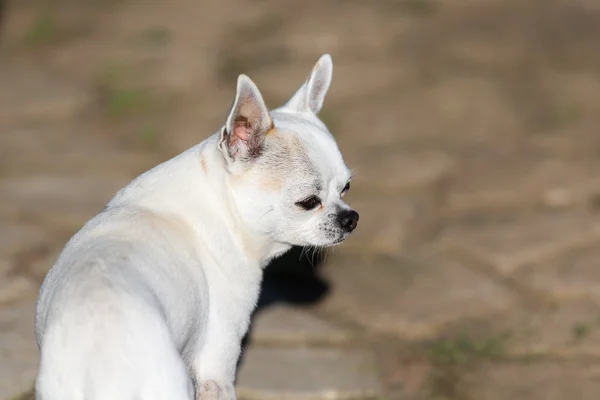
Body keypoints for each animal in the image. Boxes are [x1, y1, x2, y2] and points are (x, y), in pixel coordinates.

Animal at [35, 54, 358, 400]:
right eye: (308, 202)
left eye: (346, 188)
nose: (351, 218)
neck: (223, 207)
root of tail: (99, 362)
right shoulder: (216, 365)